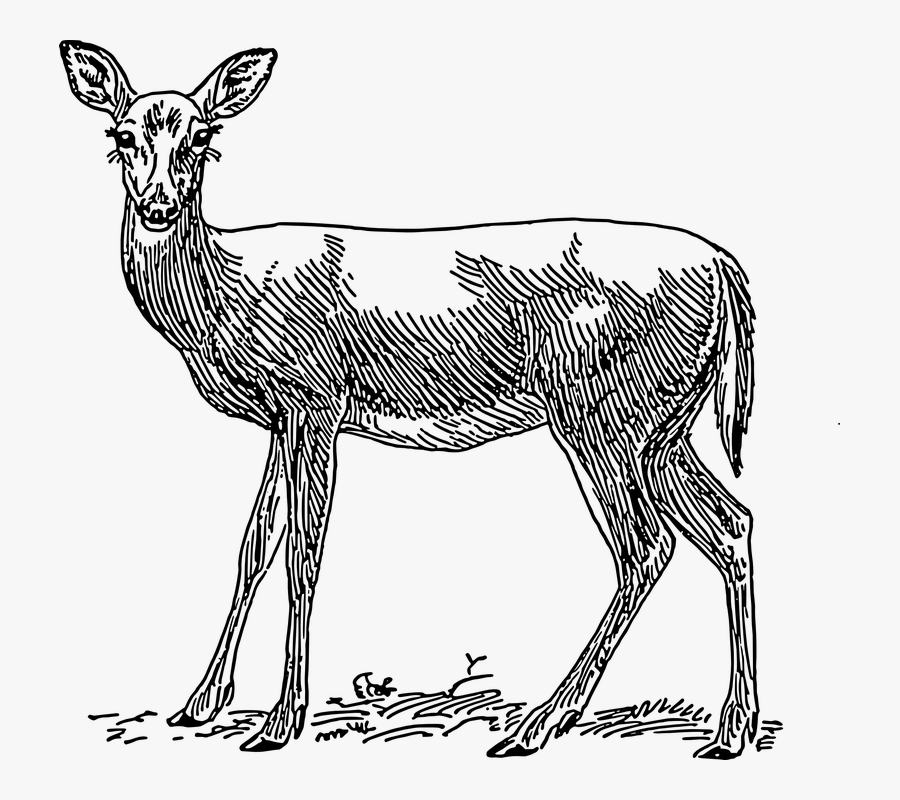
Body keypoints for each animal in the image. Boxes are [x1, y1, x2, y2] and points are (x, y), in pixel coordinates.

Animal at [60, 41, 758, 758]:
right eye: (122, 135)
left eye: (202, 137)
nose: (159, 206)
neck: (227, 293)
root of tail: (727, 272)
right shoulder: (279, 420)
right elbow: (253, 545)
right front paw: (199, 703)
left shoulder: (316, 398)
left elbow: (303, 553)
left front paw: (281, 721)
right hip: (664, 424)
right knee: (731, 524)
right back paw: (730, 729)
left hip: (603, 410)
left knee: (646, 547)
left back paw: (540, 723)